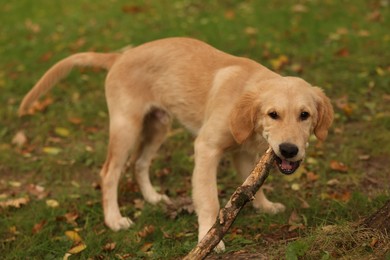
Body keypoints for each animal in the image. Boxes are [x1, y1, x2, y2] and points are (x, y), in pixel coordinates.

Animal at [19, 37, 334, 250]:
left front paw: (265, 207)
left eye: (305, 115)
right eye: (273, 114)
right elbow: (208, 199)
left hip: (158, 125)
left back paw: (153, 198)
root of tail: (120, 56)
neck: (245, 96)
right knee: (110, 172)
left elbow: (251, 186)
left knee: (139, 163)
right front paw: (209, 237)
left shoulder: (244, 153)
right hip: (126, 127)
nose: (289, 150)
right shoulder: (206, 148)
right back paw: (114, 220)